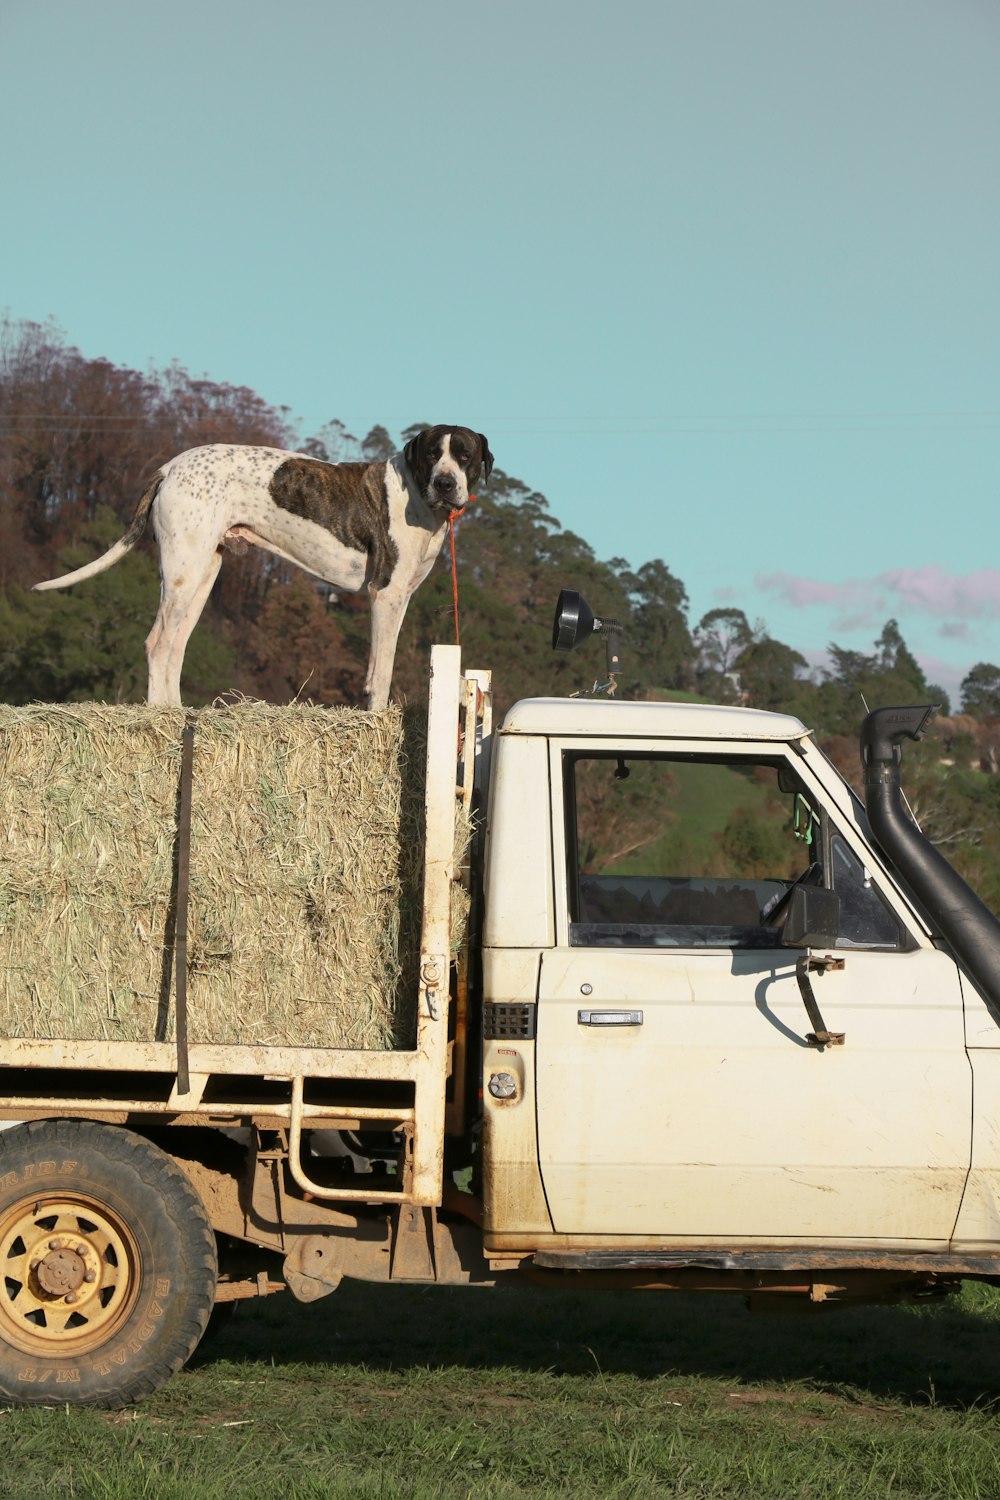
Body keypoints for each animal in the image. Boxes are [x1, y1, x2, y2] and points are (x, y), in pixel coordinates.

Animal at [33, 423, 494, 702]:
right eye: (433, 454)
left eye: (464, 455)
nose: (445, 483)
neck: (415, 494)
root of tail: (169, 466)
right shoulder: (387, 593)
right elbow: (381, 674)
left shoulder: (399, 599)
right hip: (183, 575)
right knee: (157, 644)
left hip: (201, 577)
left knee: (175, 648)